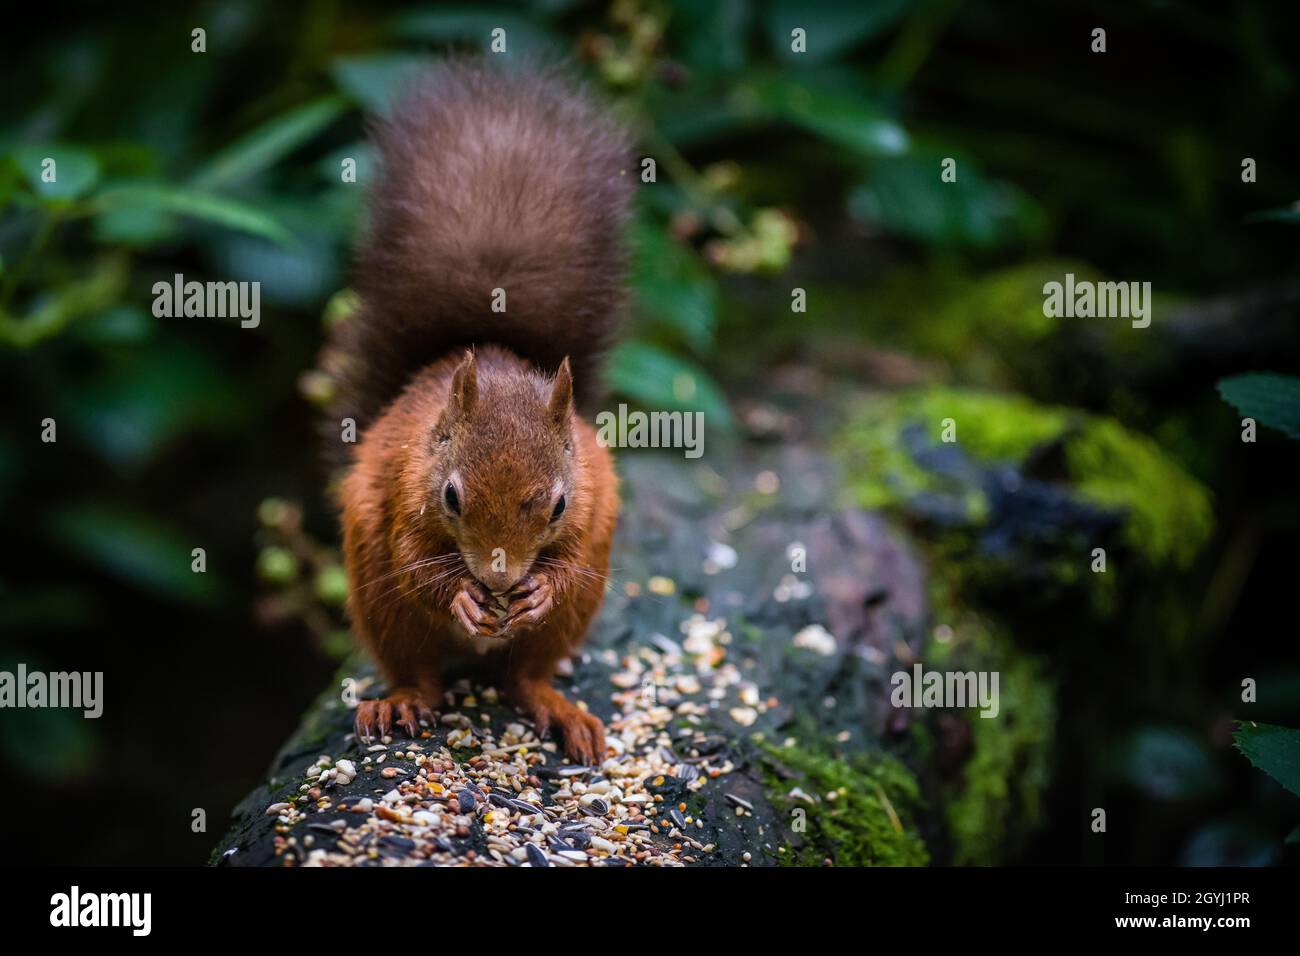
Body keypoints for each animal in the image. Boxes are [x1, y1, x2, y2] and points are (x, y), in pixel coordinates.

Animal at [322, 61, 632, 764]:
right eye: (452, 497)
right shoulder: (402, 489)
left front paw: (538, 587)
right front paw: (464, 595)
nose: (501, 577)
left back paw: (560, 708)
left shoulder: (591, 504)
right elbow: (415, 560)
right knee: (420, 671)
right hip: (380, 599)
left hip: (577, 608)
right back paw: (402, 701)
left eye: (559, 505)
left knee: (526, 676)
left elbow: (567, 560)